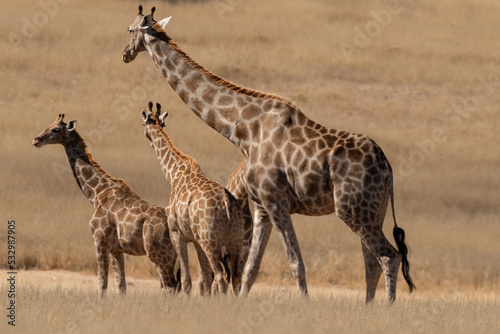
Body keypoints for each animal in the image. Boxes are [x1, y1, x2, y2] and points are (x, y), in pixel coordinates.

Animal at [31, 114, 180, 294]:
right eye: (49, 125)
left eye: (55, 129)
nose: (36, 140)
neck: (97, 194)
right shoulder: (116, 249)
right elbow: (121, 286)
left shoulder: (99, 240)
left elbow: (102, 283)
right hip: (172, 256)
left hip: (158, 254)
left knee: (169, 287)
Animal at [142, 102, 247, 294]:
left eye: (143, 124)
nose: (150, 142)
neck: (173, 174)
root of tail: (227, 204)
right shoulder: (196, 240)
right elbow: (204, 280)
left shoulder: (177, 233)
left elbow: (186, 280)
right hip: (235, 240)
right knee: (235, 278)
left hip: (210, 241)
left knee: (220, 276)